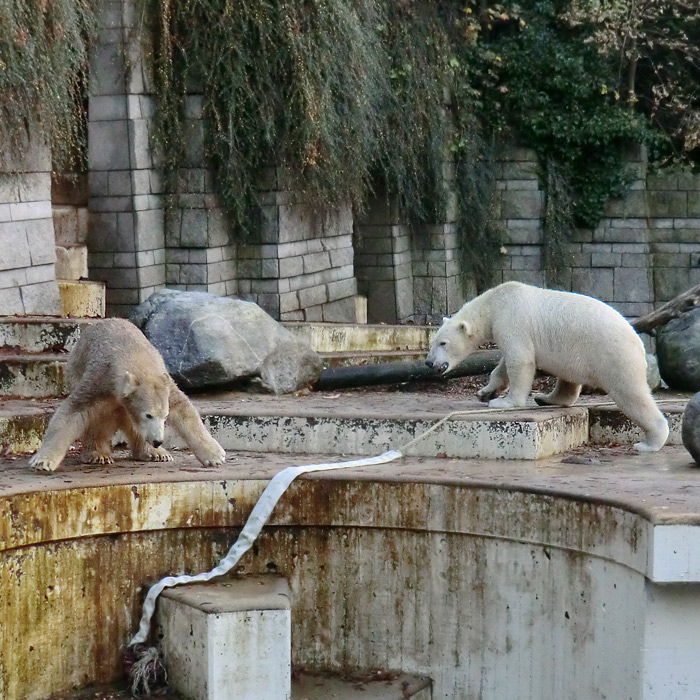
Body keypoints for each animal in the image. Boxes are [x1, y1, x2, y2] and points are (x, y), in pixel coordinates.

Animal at [29, 318, 227, 474]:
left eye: (165, 416)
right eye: (148, 415)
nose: (158, 441)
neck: (134, 353)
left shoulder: (166, 385)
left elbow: (184, 411)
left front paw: (215, 455)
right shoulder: (101, 380)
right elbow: (73, 412)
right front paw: (42, 461)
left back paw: (155, 453)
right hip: (76, 369)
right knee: (99, 419)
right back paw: (98, 454)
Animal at [424, 280, 668, 452]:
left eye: (443, 343)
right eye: (432, 342)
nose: (429, 362)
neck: (494, 303)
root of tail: (637, 341)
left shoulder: (511, 321)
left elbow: (520, 359)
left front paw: (504, 402)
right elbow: (502, 365)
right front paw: (486, 392)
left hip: (613, 355)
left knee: (631, 394)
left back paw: (649, 443)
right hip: (577, 353)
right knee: (568, 380)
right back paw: (545, 398)